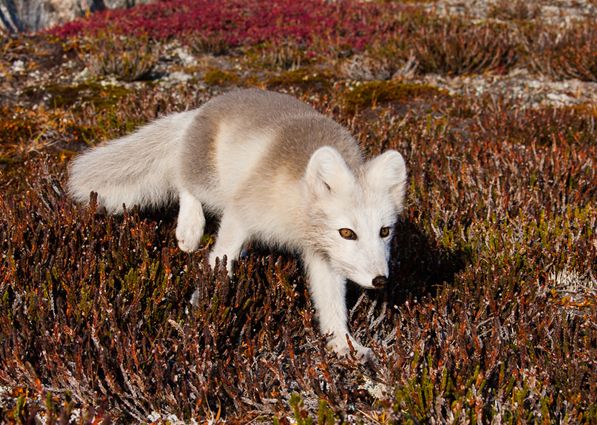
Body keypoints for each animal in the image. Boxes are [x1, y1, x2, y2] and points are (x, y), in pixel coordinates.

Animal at [67, 88, 408, 358]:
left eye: (384, 231)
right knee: (182, 181)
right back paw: (189, 230)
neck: (295, 217)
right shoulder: (241, 212)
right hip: (211, 183)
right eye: (347, 232)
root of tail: (202, 108)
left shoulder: (323, 255)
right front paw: (202, 310)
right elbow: (220, 257)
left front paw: (344, 344)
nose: (380, 280)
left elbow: (332, 303)